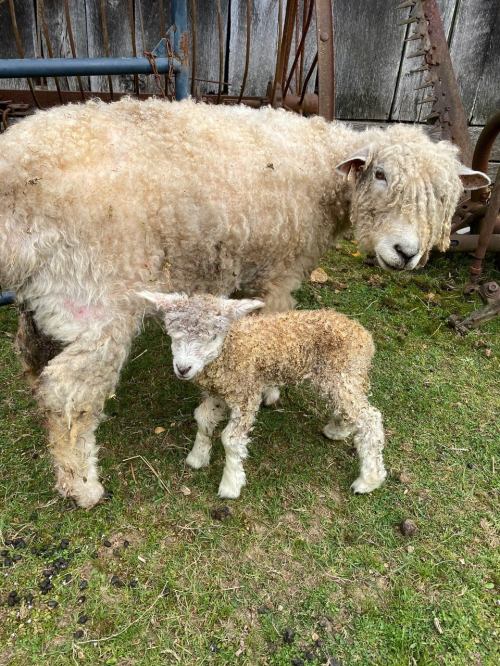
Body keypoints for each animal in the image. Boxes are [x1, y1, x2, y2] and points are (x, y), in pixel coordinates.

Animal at [139, 291, 387, 498]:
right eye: (173, 336)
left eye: (213, 337)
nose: (183, 369)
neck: (231, 348)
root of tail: (364, 335)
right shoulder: (221, 392)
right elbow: (203, 418)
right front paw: (197, 457)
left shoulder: (247, 394)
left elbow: (230, 439)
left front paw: (230, 484)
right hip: (341, 380)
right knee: (351, 410)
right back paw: (339, 429)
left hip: (341, 375)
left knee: (370, 418)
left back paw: (368, 479)